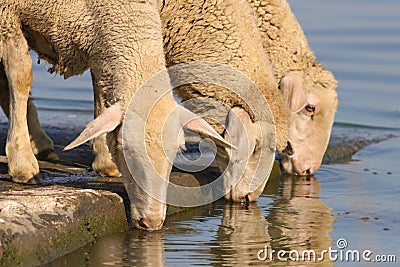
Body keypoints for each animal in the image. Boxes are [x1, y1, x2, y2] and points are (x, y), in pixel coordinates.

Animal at [0, 0, 233, 230]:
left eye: (177, 151)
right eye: (125, 149)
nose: (152, 222)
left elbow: (100, 91)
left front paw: (105, 160)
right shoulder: (9, 15)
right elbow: (21, 77)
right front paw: (23, 165)